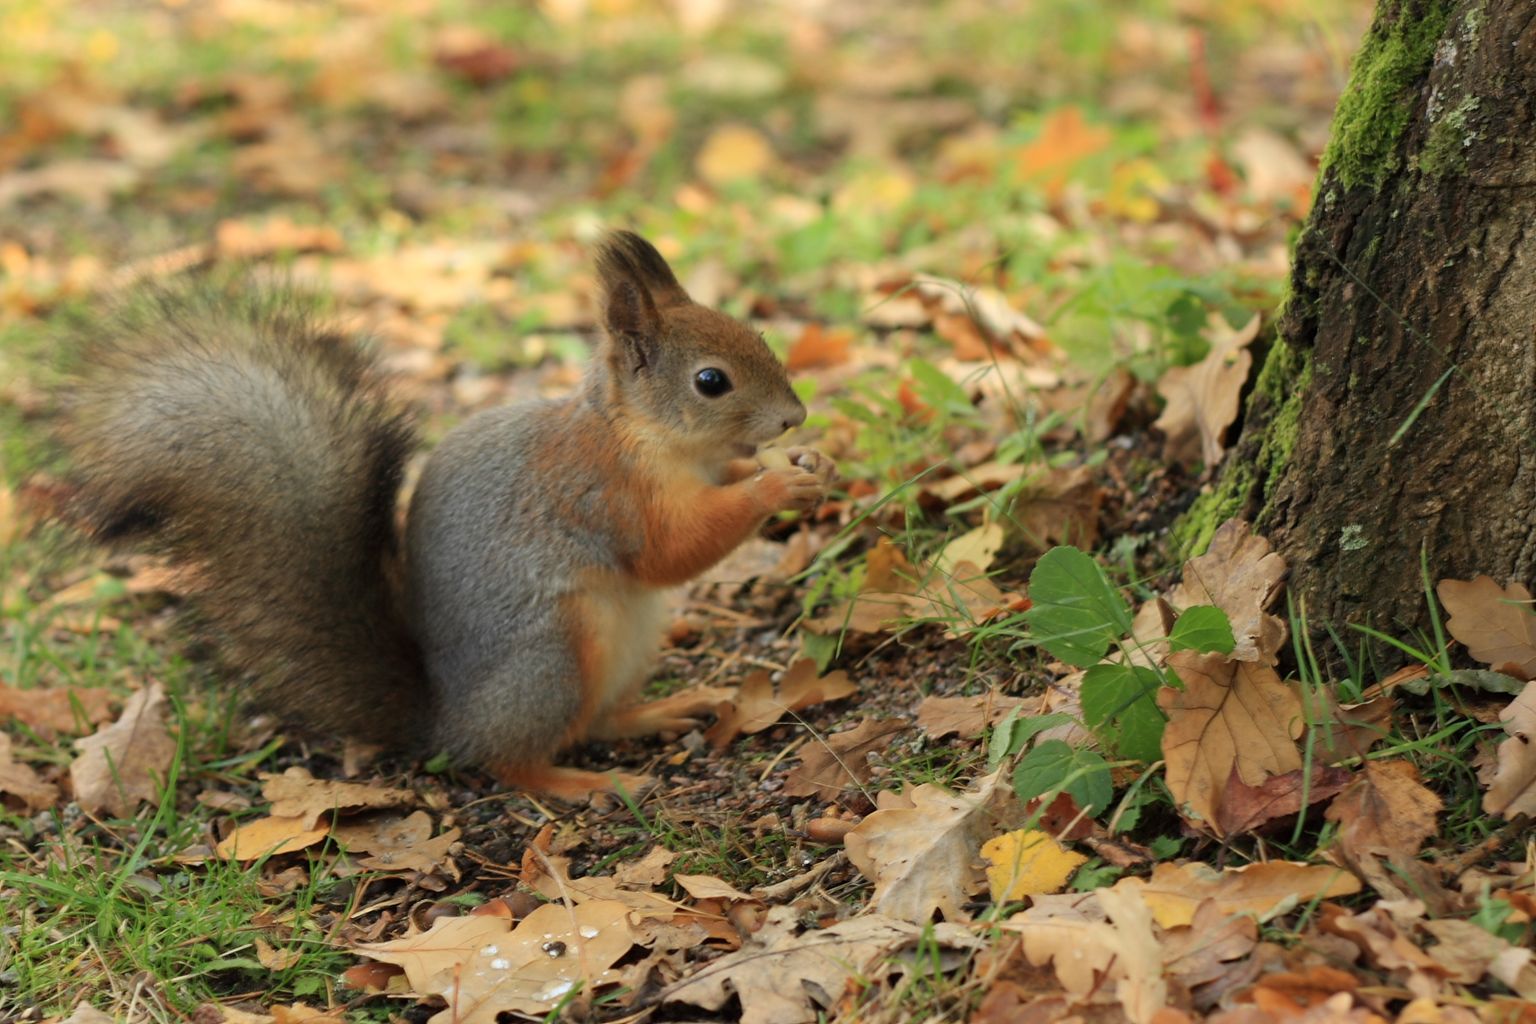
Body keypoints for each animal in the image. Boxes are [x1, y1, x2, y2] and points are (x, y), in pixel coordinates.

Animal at [62, 231, 829, 798]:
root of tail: (446, 723)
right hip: (553, 658)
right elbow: (672, 550)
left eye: (756, 334)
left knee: (596, 723)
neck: (641, 434)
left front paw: (809, 462)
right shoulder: (602, 493)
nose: (796, 417)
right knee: (513, 758)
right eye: (710, 381)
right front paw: (774, 488)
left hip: (628, 645)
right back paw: (581, 783)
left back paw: (659, 711)